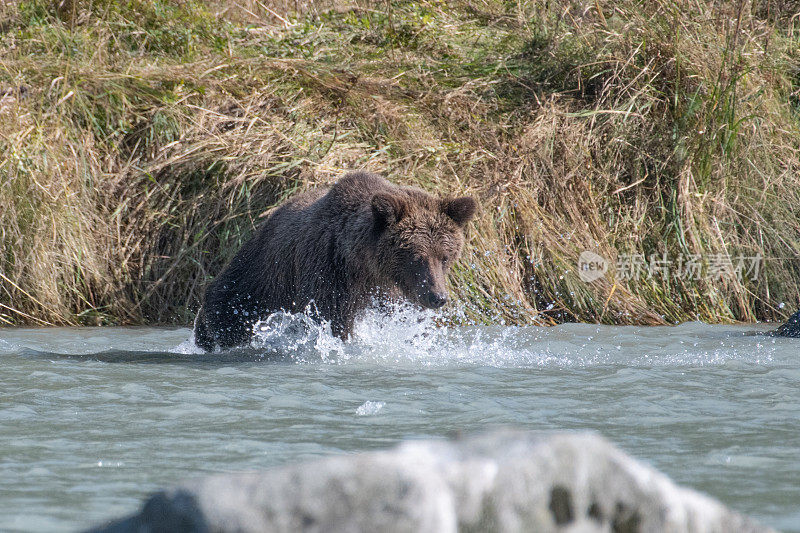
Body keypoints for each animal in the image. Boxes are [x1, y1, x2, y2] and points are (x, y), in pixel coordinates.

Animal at [195, 172, 478, 352]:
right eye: (417, 257)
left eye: (445, 256)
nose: (438, 297)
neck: (363, 264)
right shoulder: (329, 273)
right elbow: (332, 321)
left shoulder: (394, 295)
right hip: (259, 277)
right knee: (227, 306)